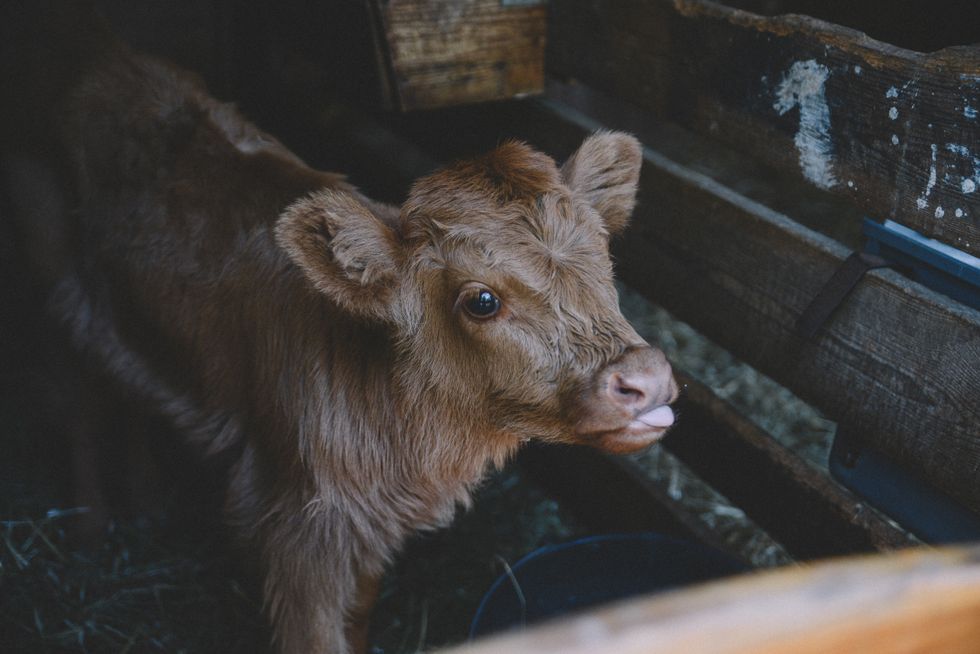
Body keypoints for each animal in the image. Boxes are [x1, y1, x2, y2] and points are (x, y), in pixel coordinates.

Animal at [0, 7, 678, 654]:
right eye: (480, 301)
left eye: (604, 257)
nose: (645, 378)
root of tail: (102, 53)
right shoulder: (300, 530)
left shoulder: (367, 524)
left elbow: (356, 617)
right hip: (50, 275)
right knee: (82, 401)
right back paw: (90, 531)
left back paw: (142, 501)